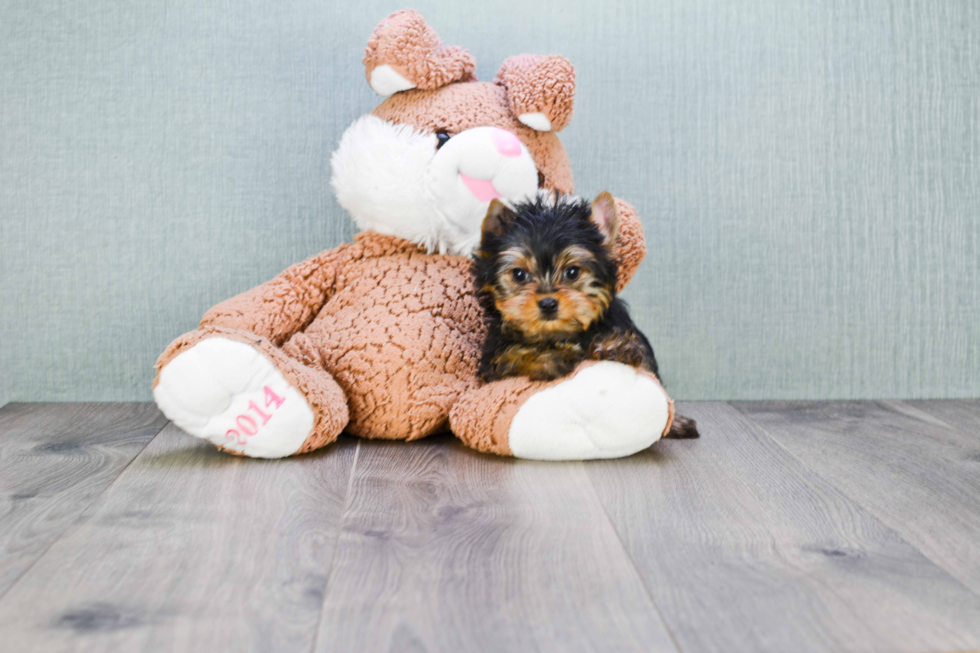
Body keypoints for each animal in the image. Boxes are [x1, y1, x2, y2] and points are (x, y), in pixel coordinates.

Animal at [472, 192, 696, 438]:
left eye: (572, 272)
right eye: (519, 275)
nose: (548, 303)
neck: (560, 333)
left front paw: (615, 347)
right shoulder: (492, 361)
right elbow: (509, 357)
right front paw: (547, 359)